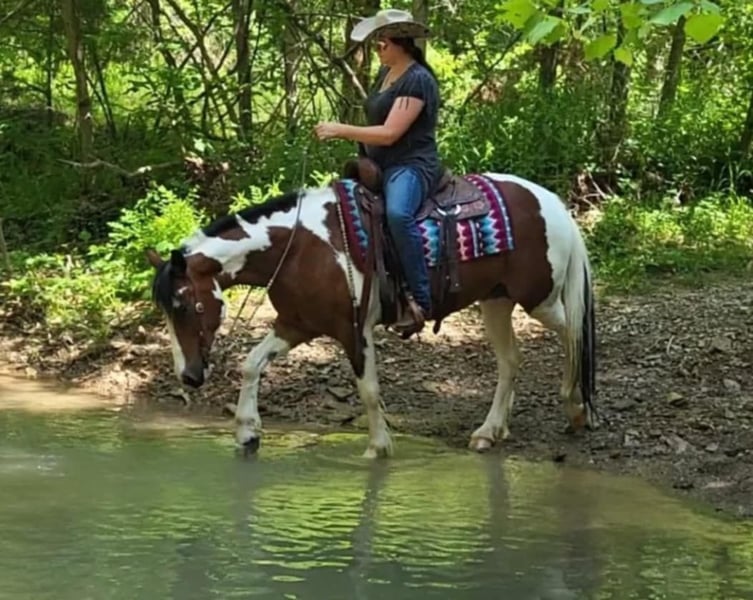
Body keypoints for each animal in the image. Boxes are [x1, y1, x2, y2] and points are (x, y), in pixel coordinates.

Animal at [146, 169, 597, 458]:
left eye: (186, 304)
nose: (189, 376)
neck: (299, 247)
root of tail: (551, 202)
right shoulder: (296, 324)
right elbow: (252, 363)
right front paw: (246, 432)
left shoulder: (352, 328)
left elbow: (368, 389)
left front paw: (378, 449)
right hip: (496, 301)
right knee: (510, 361)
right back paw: (490, 431)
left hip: (539, 299)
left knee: (574, 334)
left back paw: (578, 409)